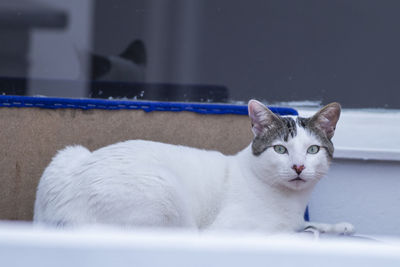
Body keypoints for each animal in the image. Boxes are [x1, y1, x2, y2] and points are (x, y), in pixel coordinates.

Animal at [33, 101, 354, 237]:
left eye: (312, 150)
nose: (298, 166)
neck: (290, 203)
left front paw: (338, 227)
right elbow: (286, 230)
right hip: (167, 194)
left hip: (67, 155)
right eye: (280, 149)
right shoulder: (229, 229)